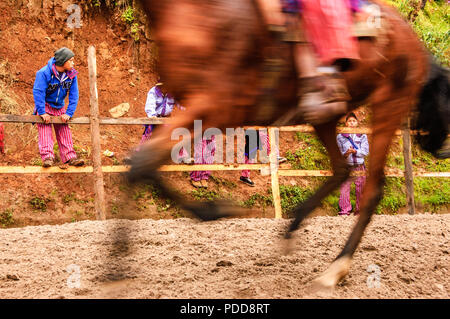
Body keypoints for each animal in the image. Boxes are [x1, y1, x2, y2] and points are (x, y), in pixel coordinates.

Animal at [128, 0, 448, 290]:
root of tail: (412, 38)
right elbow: (141, 165)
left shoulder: (215, 105)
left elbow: (142, 164)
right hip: (327, 116)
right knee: (342, 169)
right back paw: (293, 228)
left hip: (389, 104)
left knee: (371, 190)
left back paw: (335, 269)